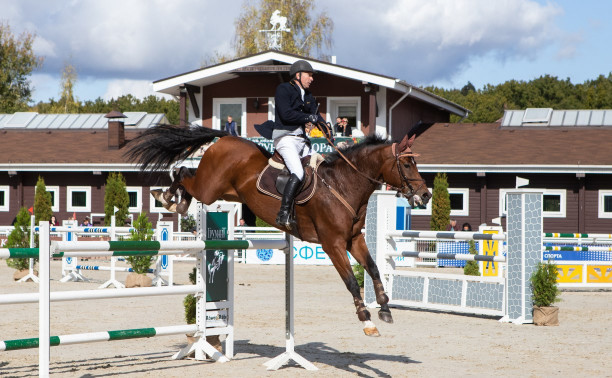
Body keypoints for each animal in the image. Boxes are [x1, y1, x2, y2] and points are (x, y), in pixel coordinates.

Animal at [124, 125, 430, 336]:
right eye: (406, 164)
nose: (425, 195)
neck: (342, 185)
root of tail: (225, 138)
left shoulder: (353, 239)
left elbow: (374, 268)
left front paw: (385, 308)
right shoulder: (332, 244)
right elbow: (351, 281)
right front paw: (366, 320)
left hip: (226, 193)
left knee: (187, 176)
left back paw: (177, 200)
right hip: (209, 189)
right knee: (185, 173)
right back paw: (168, 197)